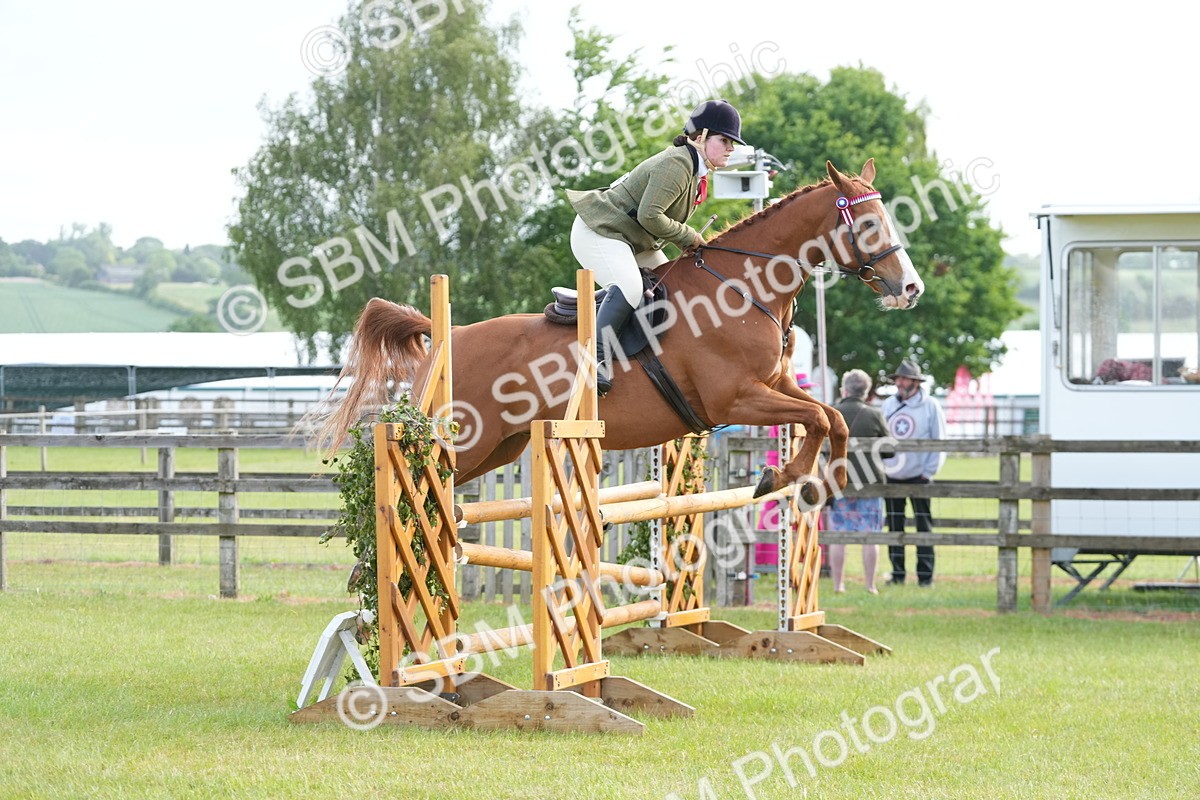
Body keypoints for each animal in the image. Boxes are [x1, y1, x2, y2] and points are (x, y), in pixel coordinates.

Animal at [319, 159, 924, 505]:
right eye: (869, 224)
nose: (910, 288)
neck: (741, 286)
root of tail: (450, 334)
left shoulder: (774, 386)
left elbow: (832, 416)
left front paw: (820, 485)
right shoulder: (734, 399)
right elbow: (819, 418)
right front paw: (782, 479)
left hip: (500, 445)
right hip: (470, 438)